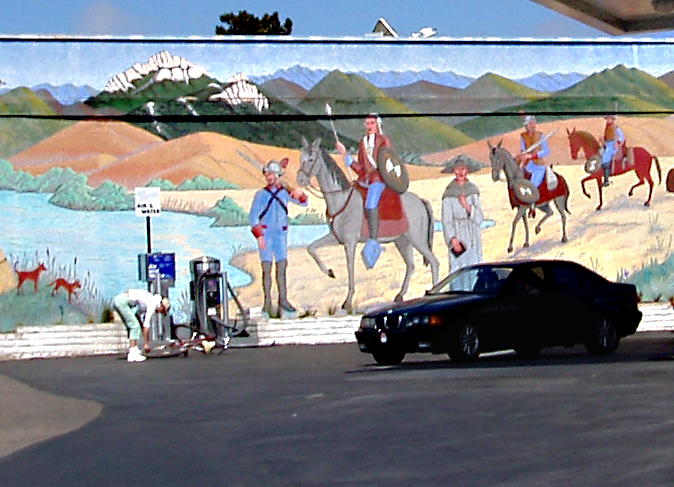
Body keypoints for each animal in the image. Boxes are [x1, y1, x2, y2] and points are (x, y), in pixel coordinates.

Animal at [296, 138, 438, 312]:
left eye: (311, 159)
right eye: (301, 158)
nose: (300, 180)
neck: (342, 199)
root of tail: (421, 201)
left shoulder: (350, 242)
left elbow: (350, 267)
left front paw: (347, 301)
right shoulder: (336, 238)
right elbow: (312, 248)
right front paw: (329, 272)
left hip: (417, 239)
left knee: (434, 262)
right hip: (403, 241)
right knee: (411, 265)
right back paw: (400, 295)